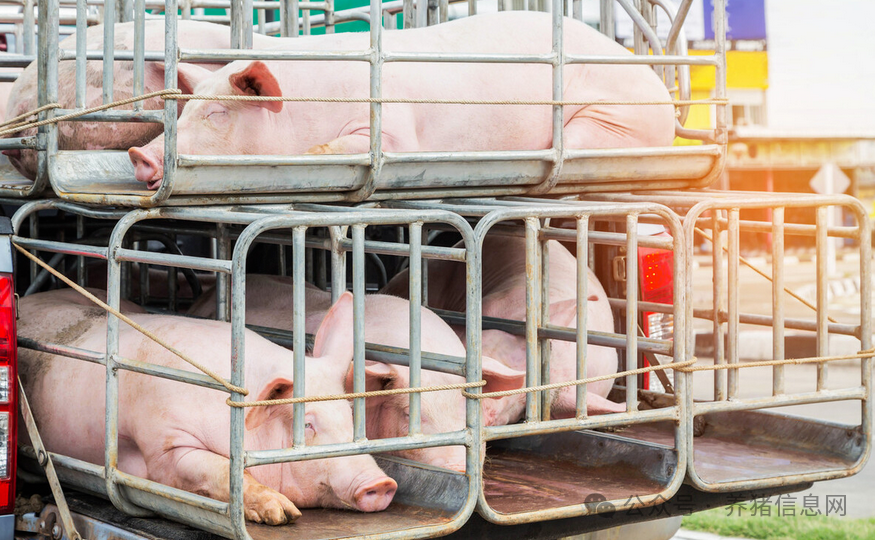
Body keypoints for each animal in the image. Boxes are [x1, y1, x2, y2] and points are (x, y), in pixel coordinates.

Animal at [18, 289, 397, 524]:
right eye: (307, 425)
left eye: (350, 418)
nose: (381, 483)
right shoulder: (164, 444)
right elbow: (219, 470)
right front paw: (283, 513)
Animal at [128, 11, 676, 189]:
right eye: (187, 109)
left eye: (218, 113)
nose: (139, 154)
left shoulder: (394, 129)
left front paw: (313, 153)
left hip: (613, 121)